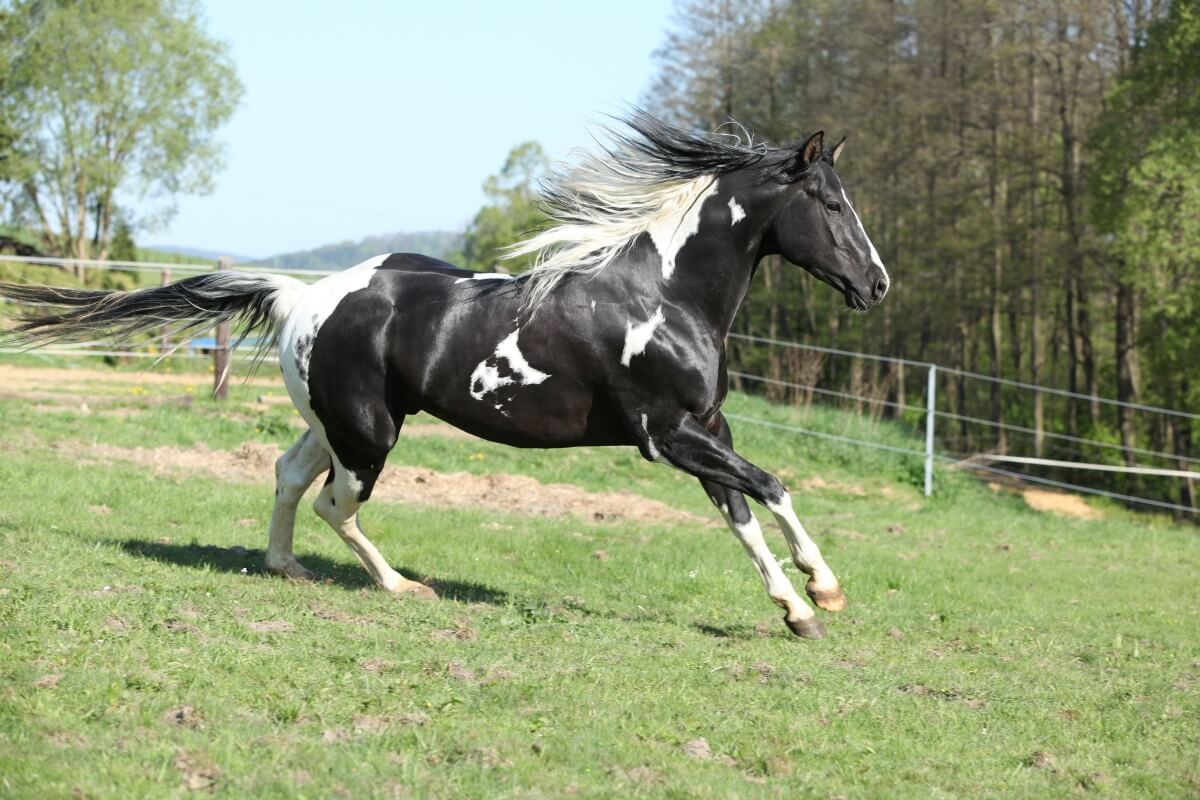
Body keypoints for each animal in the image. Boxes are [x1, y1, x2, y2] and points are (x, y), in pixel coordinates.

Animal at [0, 112, 888, 639]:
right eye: (832, 205)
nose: (877, 284)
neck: (663, 293)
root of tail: (300, 297)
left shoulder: (706, 428)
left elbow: (742, 511)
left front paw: (799, 609)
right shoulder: (665, 434)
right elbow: (771, 486)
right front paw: (826, 590)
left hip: (337, 423)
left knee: (288, 473)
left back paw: (285, 567)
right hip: (370, 434)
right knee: (335, 503)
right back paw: (401, 588)